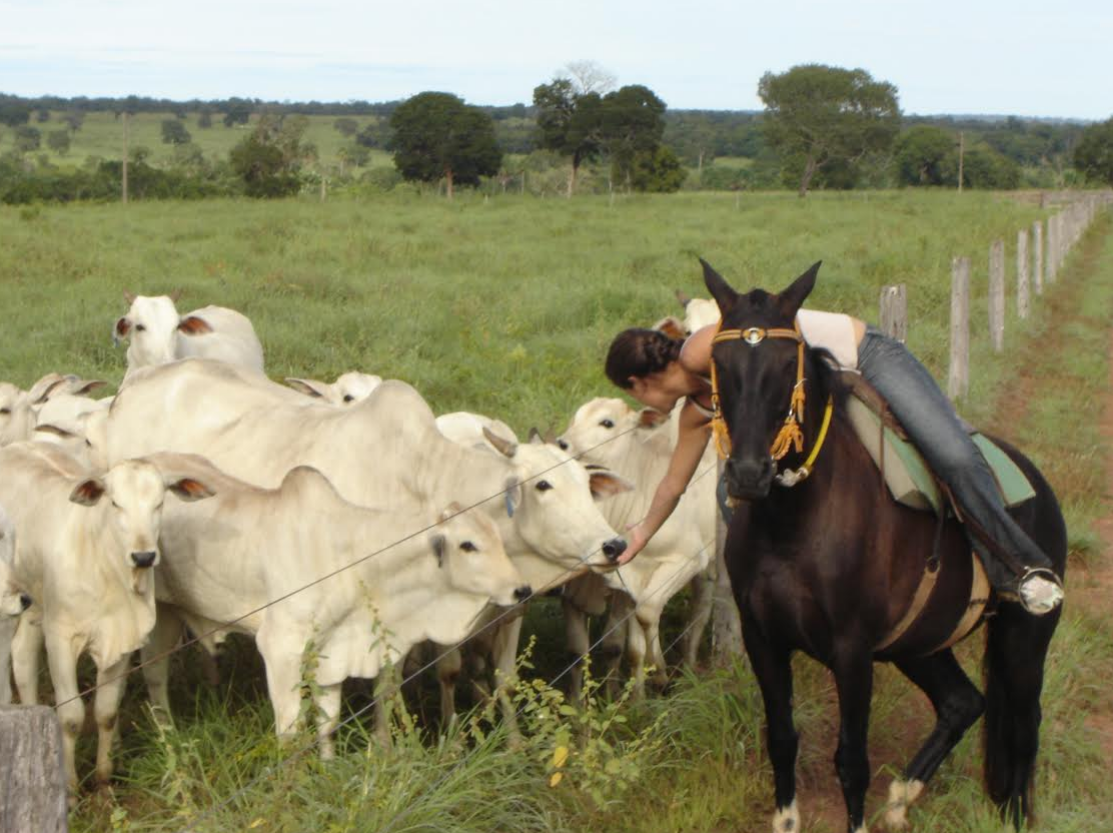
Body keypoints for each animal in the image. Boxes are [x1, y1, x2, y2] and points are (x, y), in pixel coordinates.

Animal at [0, 443, 214, 792]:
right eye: (115, 503)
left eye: (160, 502)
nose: (144, 555)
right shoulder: (60, 639)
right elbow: (72, 716)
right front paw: (71, 786)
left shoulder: (122, 641)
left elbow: (106, 711)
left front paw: (104, 778)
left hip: (34, 607)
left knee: (23, 655)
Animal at [134, 452, 525, 757]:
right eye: (468, 545)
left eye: (498, 537)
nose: (521, 589)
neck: (350, 558)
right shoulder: (281, 649)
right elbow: (290, 732)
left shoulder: (333, 651)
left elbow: (327, 723)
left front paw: (327, 767)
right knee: (154, 675)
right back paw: (168, 740)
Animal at [554, 400, 716, 699]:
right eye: (575, 418)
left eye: (607, 423)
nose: (562, 443)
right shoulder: (631, 576)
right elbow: (633, 647)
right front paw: (638, 699)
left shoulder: (685, 560)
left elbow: (648, 611)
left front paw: (661, 674)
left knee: (701, 609)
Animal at [703, 261, 1068, 833]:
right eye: (720, 363)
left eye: (788, 364)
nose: (747, 474)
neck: (793, 524)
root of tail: (1039, 486)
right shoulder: (764, 638)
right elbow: (782, 740)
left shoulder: (852, 651)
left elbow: (851, 761)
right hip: (919, 642)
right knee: (964, 702)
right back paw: (900, 800)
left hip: (1023, 640)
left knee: (1024, 729)